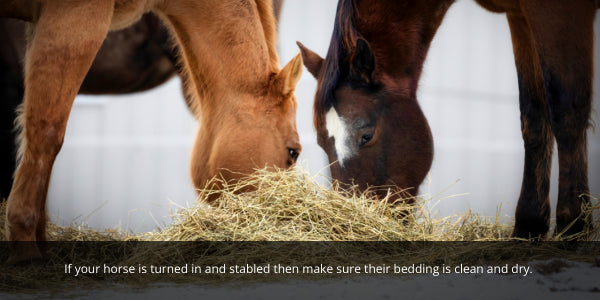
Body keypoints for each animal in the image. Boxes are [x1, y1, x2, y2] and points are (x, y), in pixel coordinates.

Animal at [298, 0, 596, 239]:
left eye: (366, 136)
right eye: (321, 143)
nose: (345, 228)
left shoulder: (556, 12)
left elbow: (565, 112)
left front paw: (573, 229)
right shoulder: (521, 17)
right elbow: (534, 116)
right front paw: (528, 229)